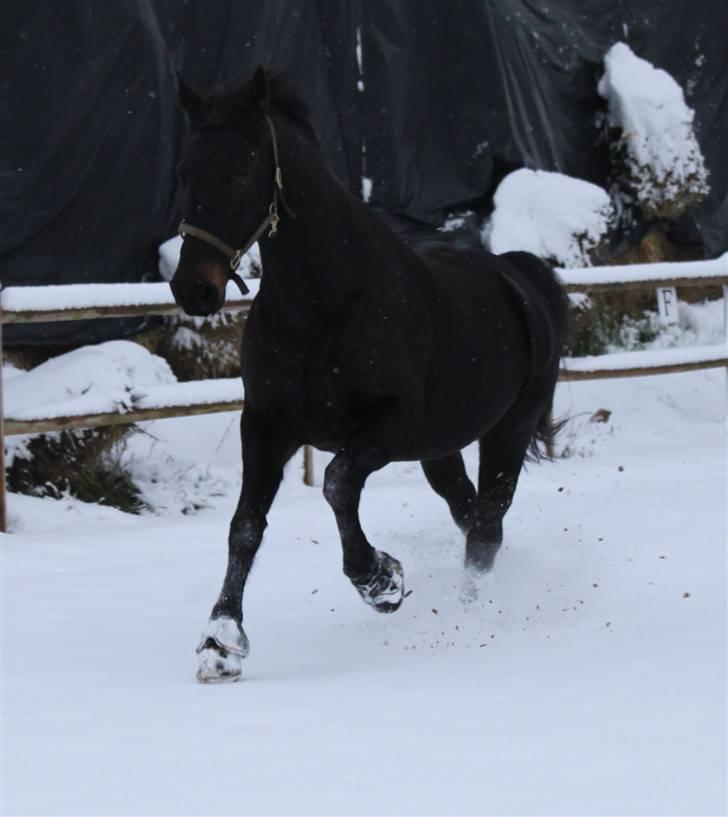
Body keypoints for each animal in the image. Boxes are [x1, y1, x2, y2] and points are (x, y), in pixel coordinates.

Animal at [171, 68, 568, 684]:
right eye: (187, 172)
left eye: (239, 170)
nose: (193, 289)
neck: (322, 308)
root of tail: (519, 276)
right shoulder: (264, 426)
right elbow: (246, 525)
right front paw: (220, 643)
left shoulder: (385, 429)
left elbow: (337, 484)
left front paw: (382, 581)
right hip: (441, 450)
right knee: (469, 514)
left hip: (507, 432)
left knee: (487, 527)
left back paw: (473, 620)